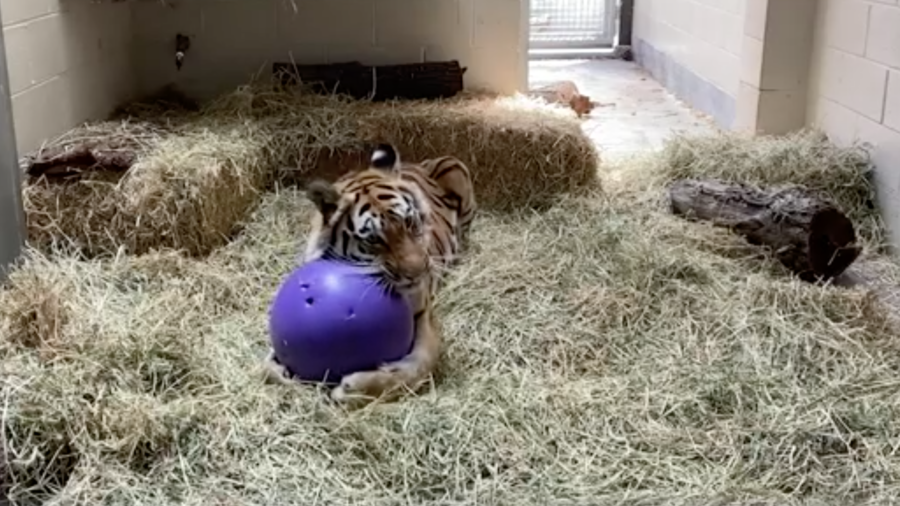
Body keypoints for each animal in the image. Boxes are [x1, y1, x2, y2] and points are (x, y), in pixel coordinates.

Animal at [264, 143, 476, 405]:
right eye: (374, 239)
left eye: (409, 222)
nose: (419, 272)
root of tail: (419, 164)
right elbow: (265, 368)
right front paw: (280, 373)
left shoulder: (424, 317)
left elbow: (417, 367)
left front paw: (354, 389)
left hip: (457, 170)